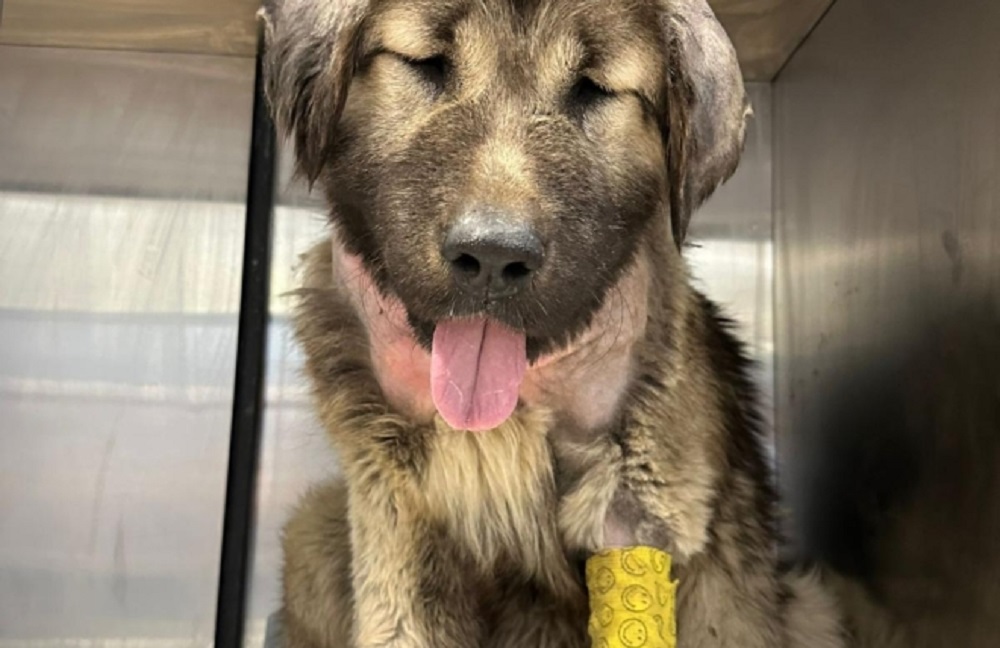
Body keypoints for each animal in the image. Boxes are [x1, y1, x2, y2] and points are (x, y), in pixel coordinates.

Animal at [260, 0, 847, 645]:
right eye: (428, 62)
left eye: (592, 89)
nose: (492, 257)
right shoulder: (397, 513)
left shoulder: (634, 516)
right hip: (312, 532)